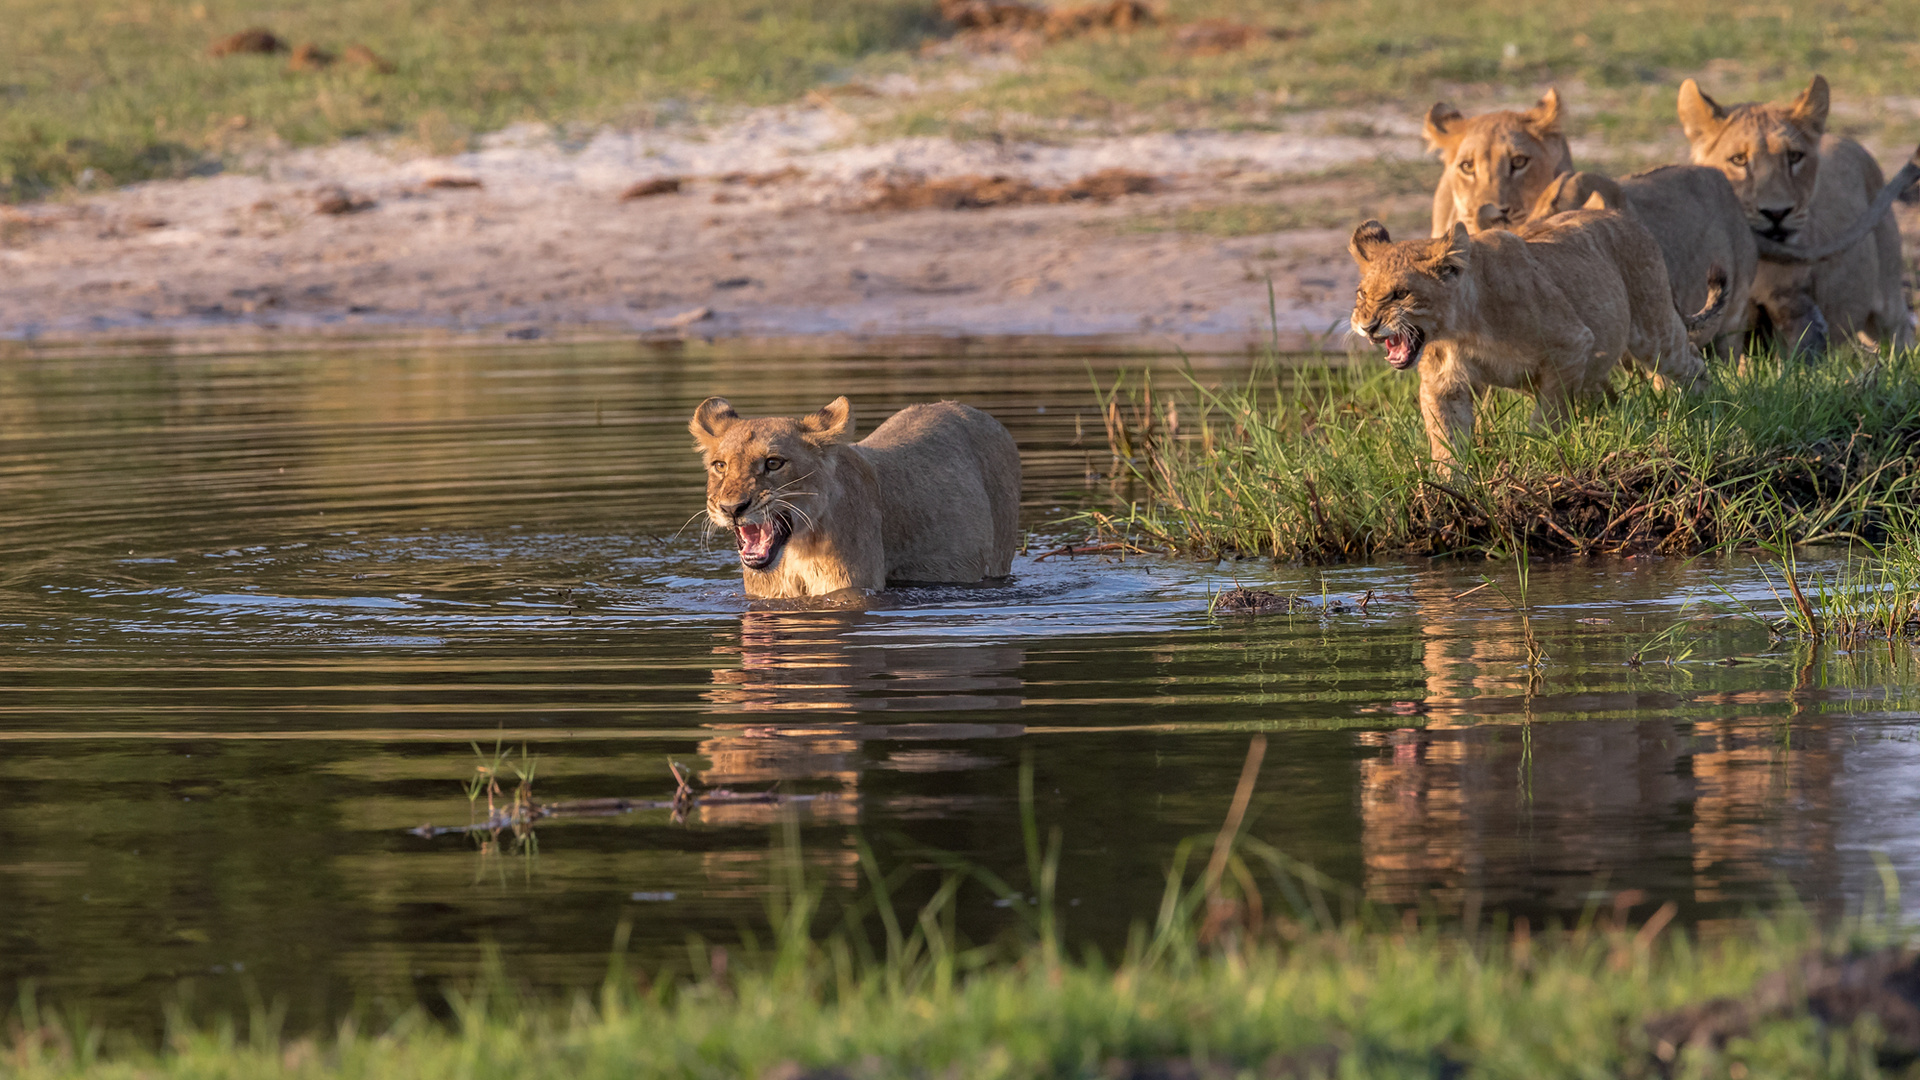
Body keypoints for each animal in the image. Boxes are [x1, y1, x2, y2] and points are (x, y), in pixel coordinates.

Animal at [1351, 210, 1728, 463]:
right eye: (1363, 294)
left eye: (1401, 294)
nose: (1367, 326)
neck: (1462, 329)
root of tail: (1627, 218)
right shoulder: (1444, 382)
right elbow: (1445, 439)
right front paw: (1445, 496)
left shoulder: (1573, 344)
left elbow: (1547, 417)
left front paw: (1536, 453)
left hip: (1654, 329)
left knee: (1691, 361)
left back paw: (1705, 410)